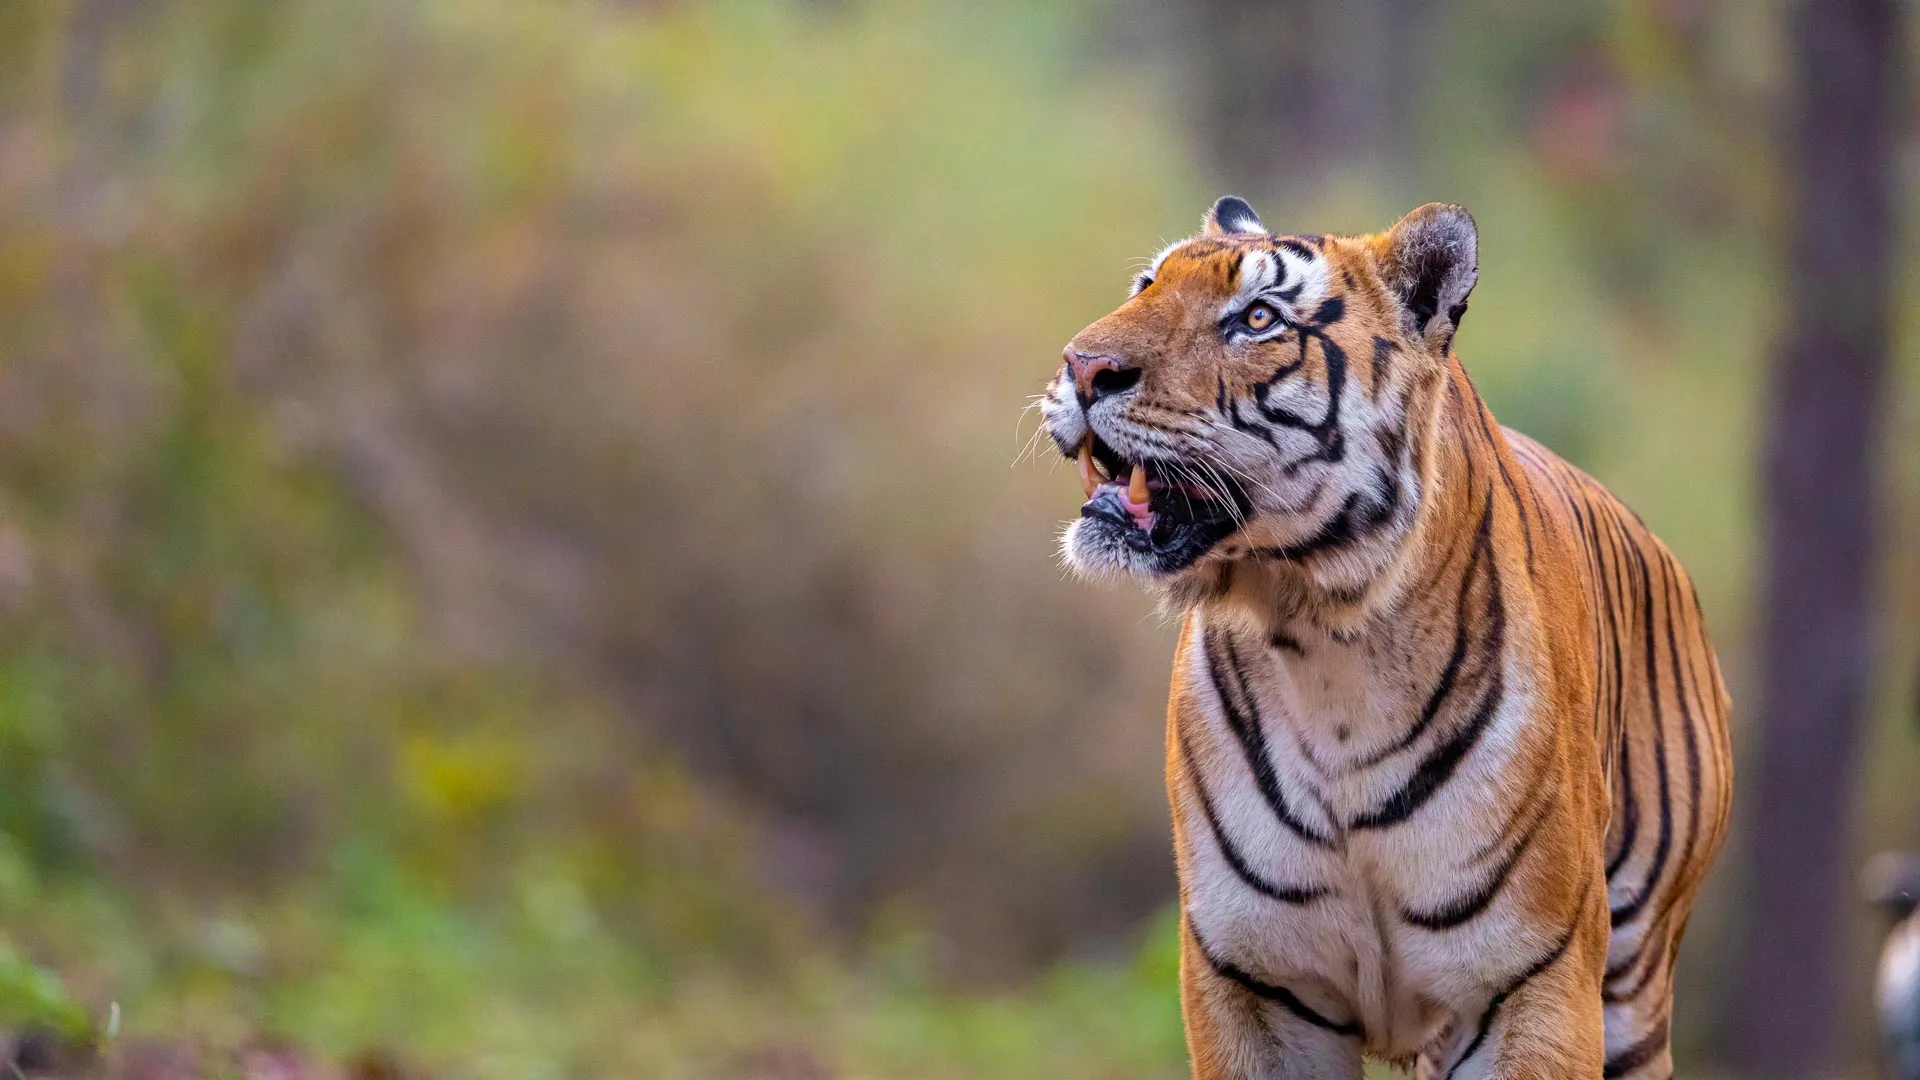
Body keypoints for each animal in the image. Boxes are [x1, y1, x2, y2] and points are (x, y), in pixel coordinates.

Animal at [1037, 198, 1732, 1079]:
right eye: (1145, 286)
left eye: (1257, 318)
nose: (1083, 366)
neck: (1321, 639)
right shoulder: (1251, 979)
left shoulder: (1531, 982)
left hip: (1633, 986)